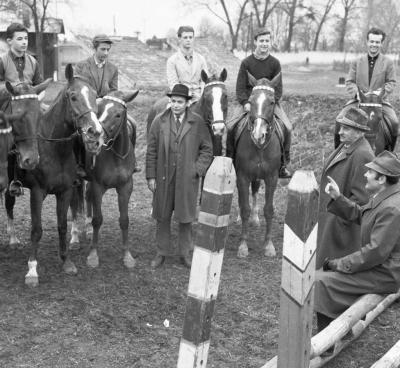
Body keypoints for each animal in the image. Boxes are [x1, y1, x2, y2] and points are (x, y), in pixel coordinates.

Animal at [5, 64, 104, 288]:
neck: (55, 149)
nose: (95, 132)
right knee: (9, 206)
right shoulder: (37, 193)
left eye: (95, 96)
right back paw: (12, 238)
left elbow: (62, 225)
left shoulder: (65, 191)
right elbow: (36, 230)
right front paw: (32, 270)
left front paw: (66, 261)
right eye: (73, 96)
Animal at [70, 89, 141, 268]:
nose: (96, 137)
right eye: (99, 110)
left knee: (86, 197)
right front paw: (93, 255)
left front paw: (127, 255)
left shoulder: (125, 187)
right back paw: (74, 237)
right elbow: (98, 219)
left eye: (118, 114)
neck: (114, 155)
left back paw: (87, 228)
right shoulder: (98, 186)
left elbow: (124, 220)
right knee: (74, 205)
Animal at [233, 73, 282, 258]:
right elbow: (244, 209)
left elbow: (269, 210)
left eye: (272, 102)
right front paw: (242, 245)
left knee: (254, 191)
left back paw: (255, 219)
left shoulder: (272, 177)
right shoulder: (242, 176)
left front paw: (268, 245)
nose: (258, 134)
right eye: (251, 101)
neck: (260, 147)